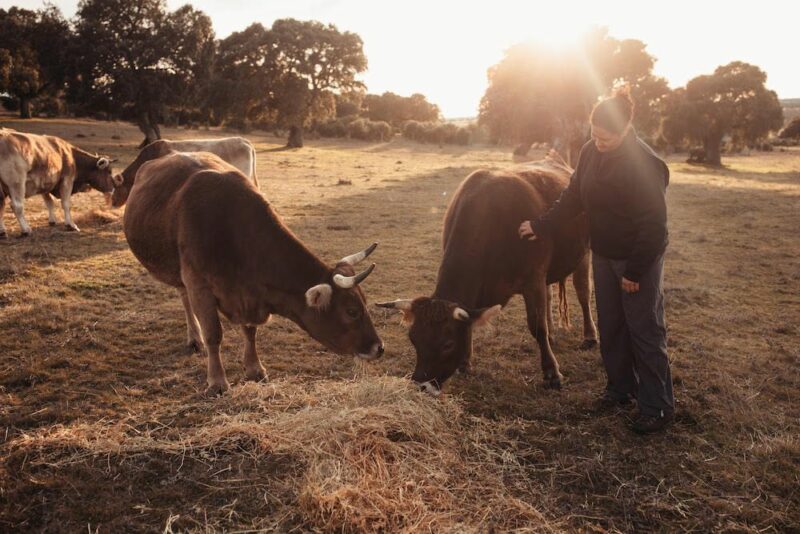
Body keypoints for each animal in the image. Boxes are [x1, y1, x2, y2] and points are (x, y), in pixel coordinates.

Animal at [125, 153, 384, 396]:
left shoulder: (250, 295)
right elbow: (213, 335)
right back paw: (195, 337)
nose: (379, 347)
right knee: (186, 300)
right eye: (351, 311)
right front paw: (217, 381)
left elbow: (250, 331)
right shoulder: (198, 284)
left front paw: (254, 368)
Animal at [378, 155, 596, 398]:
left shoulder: (533, 279)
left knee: (583, 293)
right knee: (549, 298)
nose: (422, 386)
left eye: (447, 344)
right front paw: (465, 363)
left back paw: (589, 336)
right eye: (413, 339)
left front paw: (551, 373)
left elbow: (537, 327)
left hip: (584, 253)